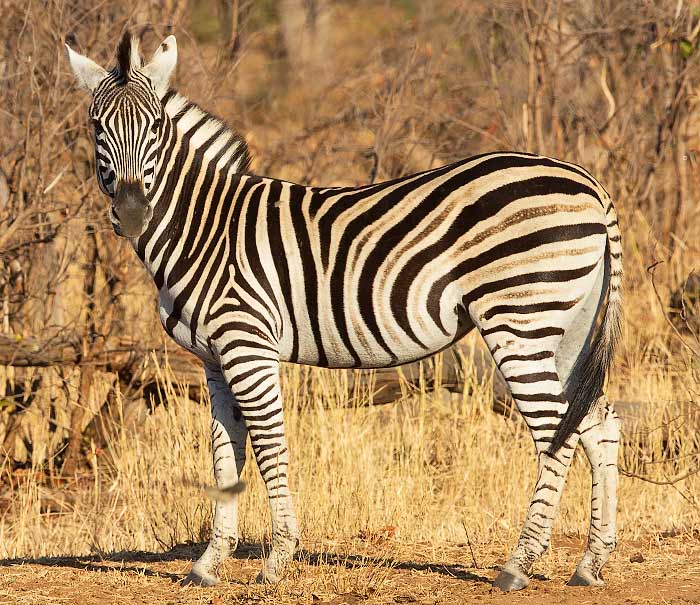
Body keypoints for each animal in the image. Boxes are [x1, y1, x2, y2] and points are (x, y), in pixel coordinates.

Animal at [66, 31, 623, 592]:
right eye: (96, 127)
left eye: (156, 126)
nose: (133, 213)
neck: (206, 227)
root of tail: (590, 183)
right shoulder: (214, 360)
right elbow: (226, 457)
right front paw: (208, 563)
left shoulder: (248, 346)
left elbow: (269, 447)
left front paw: (278, 558)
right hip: (564, 327)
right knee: (597, 421)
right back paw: (591, 562)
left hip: (520, 319)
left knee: (557, 432)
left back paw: (519, 563)